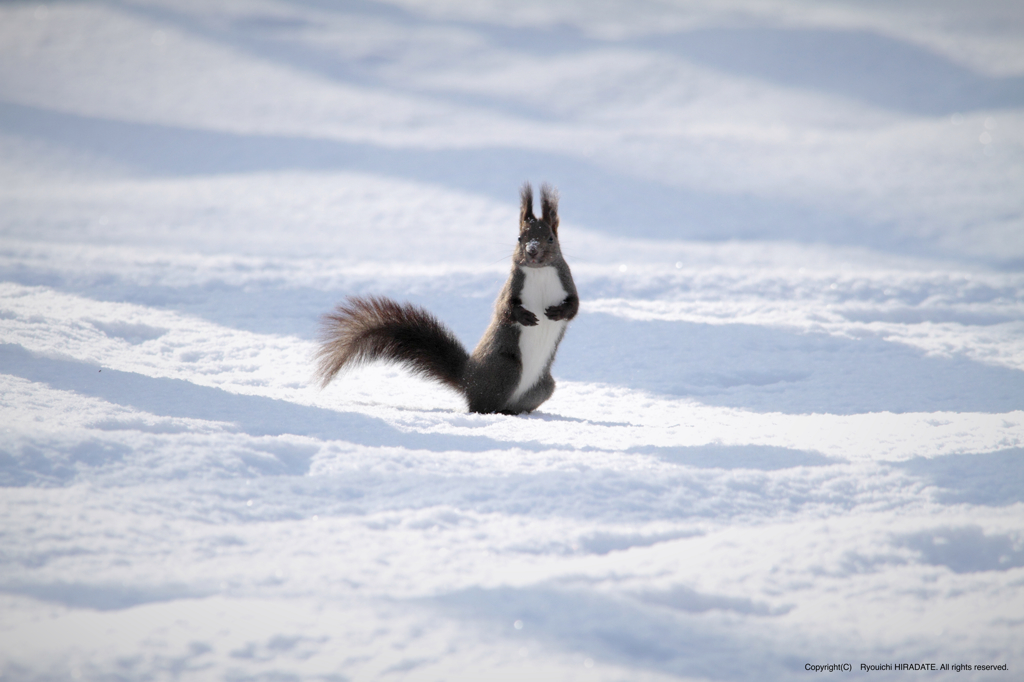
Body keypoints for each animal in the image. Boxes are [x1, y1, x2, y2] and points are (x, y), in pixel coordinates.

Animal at [313, 182, 577, 413]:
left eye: (551, 238)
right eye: (520, 238)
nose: (532, 252)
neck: (539, 272)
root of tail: (467, 379)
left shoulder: (568, 283)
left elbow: (574, 307)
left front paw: (558, 313)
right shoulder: (511, 287)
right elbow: (504, 308)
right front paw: (525, 316)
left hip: (542, 387)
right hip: (505, 370)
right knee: (481, 406)